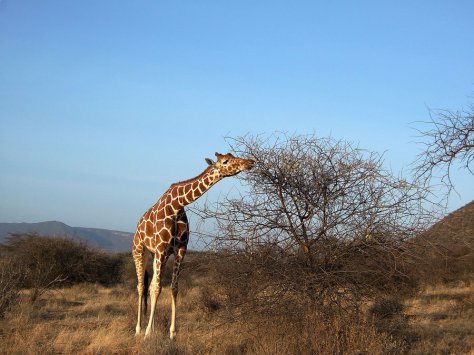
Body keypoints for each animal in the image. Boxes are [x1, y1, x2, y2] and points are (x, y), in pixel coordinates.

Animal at [131, 152, 254, 338]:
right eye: (225, 161)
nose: (250, 162)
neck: (177, 205)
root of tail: (138, 226)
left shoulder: (180, 249)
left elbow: (174, 287)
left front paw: (172, 333)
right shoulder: (161, 248)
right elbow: (157, 288)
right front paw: (147, 334)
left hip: (156, 255)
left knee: (150, 284)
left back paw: (150, 328)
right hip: (140, 250)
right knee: (142, 286)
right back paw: (139, 330)